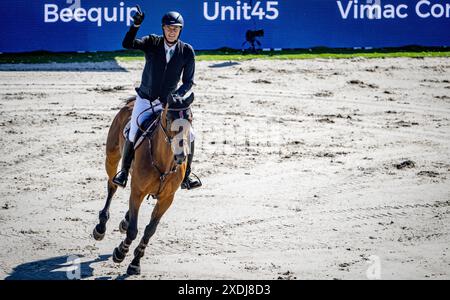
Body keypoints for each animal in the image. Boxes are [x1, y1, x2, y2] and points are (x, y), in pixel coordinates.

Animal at [93, 94, 193, 274]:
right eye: (168, 118)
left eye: (190, 118)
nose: (181, 156)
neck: (164, 162)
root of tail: (131, 102)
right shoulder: (137, 192)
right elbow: (133, 230)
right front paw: (121, 252)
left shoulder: (166, 199)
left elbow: (150, 230)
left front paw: (135, 262)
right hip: (112, 156)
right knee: (112, 186)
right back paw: (101, 227)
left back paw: (124, 221)